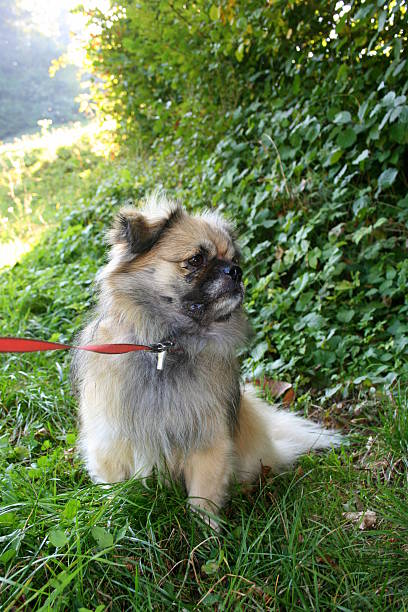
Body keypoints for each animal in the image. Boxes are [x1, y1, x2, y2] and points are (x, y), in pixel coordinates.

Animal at [71, 194, 342, 524]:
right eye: (196, 259)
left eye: (235, 260)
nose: (235, 271)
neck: (166, 347)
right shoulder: (110, 443)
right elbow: (115, 491)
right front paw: (114, 517)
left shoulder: (208, 443)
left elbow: (202, 499)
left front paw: (205, 533)